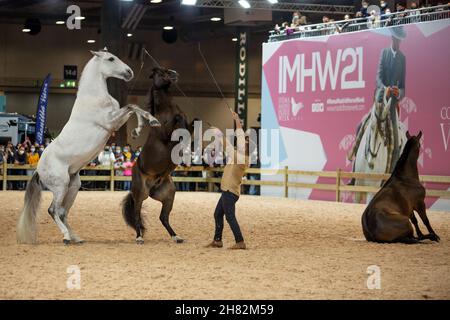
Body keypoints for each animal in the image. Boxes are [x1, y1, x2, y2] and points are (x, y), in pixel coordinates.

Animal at [16, 47, 161, 244]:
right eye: (111, 59)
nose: (129, 72)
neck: (94, 97)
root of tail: (38, 170)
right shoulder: (111, 122)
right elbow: (132, 106)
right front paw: (152, 121)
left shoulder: (115, 121)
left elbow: (133, 108)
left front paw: (139, 129)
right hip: (61, 186)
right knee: (53, 210)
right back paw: (66, 237)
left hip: (73, 186)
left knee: (62, 212)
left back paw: (76, 238)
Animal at [122, 66, 192, 244]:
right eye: (161, 72)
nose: (175, 74)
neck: (166, 110)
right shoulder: (166, 135)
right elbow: (178, 121)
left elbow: (189, 125)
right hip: (140, 194)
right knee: (137, 215)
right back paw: (139, 238)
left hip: (169, 195)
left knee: (163, 217)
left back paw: (176, 237)